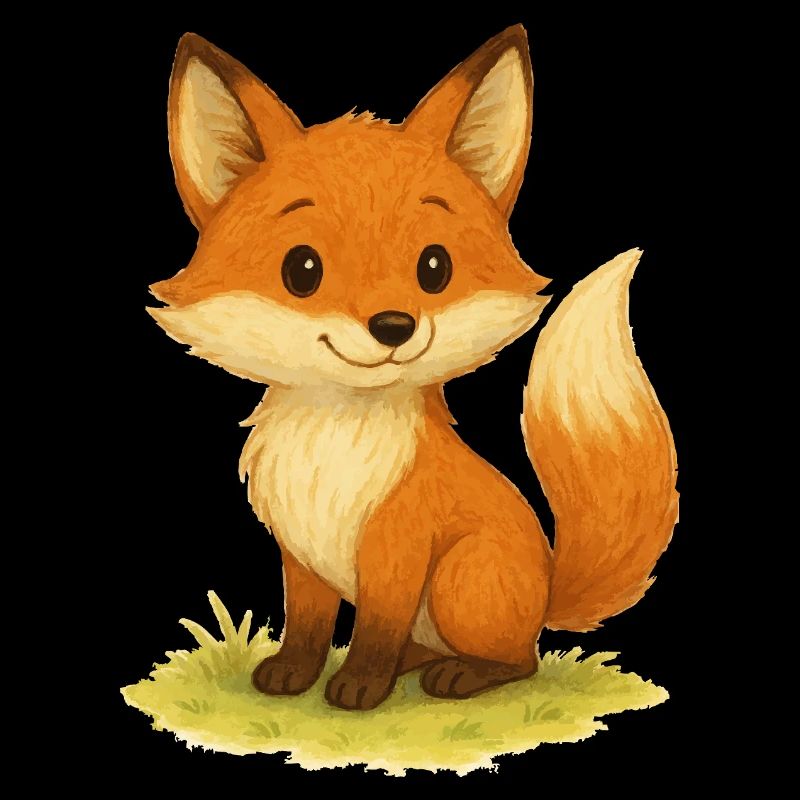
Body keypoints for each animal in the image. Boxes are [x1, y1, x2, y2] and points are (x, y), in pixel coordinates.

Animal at [148, 25, 678, 712]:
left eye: (434, 267)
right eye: (302, 269)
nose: (394, 326)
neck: (336, 446)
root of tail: (546, 592)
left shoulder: (398, 549)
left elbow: (376, 628)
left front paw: (360, 688)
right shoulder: (299, 556)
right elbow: (308, 626)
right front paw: (293, 675)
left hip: (463, 577)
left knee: (520, 661)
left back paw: (460, 676)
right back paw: (419, 665)